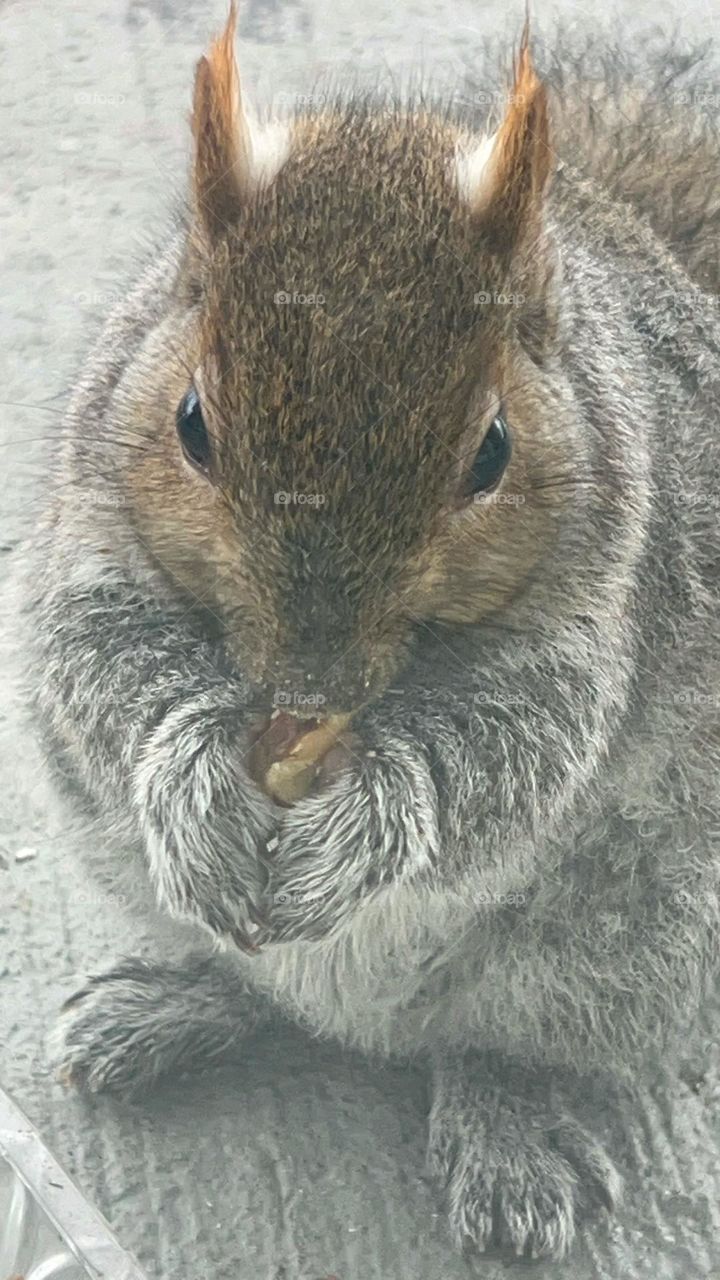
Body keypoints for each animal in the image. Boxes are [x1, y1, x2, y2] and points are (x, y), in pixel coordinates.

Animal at [25, 7, 717, 1259]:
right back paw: (172, 999)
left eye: (491, 451)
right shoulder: (90, 532)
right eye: (191, 423)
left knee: (504, 1038)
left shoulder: (606, 603)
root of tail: (367, 1026)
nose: (311, 680)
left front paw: (375, 808)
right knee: (248, 974)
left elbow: (510, 747)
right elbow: (102, 660)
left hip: (626, 959)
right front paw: (190, 774)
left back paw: (511, 1123)